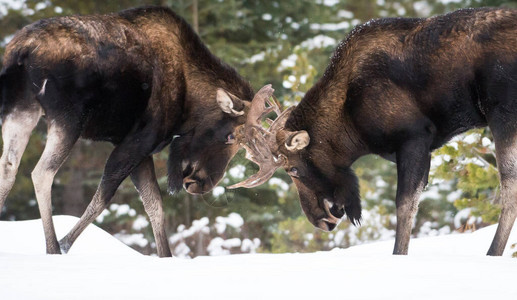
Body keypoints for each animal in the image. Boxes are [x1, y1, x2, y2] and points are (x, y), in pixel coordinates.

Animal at [0, 5, 272, 256]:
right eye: (230, 136)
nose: (202, 183)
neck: (188, 105)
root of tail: (21, 50)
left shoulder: (141, 151)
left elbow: (155, 205)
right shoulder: (138, 141)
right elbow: (107, 195)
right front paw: (66, 243)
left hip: (21, 108)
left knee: (9, 166)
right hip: (68, 118)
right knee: (42, 172)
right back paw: (53, 247)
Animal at [233, 7, 516, 255]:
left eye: (292, 169)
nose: (319, 220)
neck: (351, 126)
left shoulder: (415, 137)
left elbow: (404, 206)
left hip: (503, 115)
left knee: (509, 188)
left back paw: (492, 252)